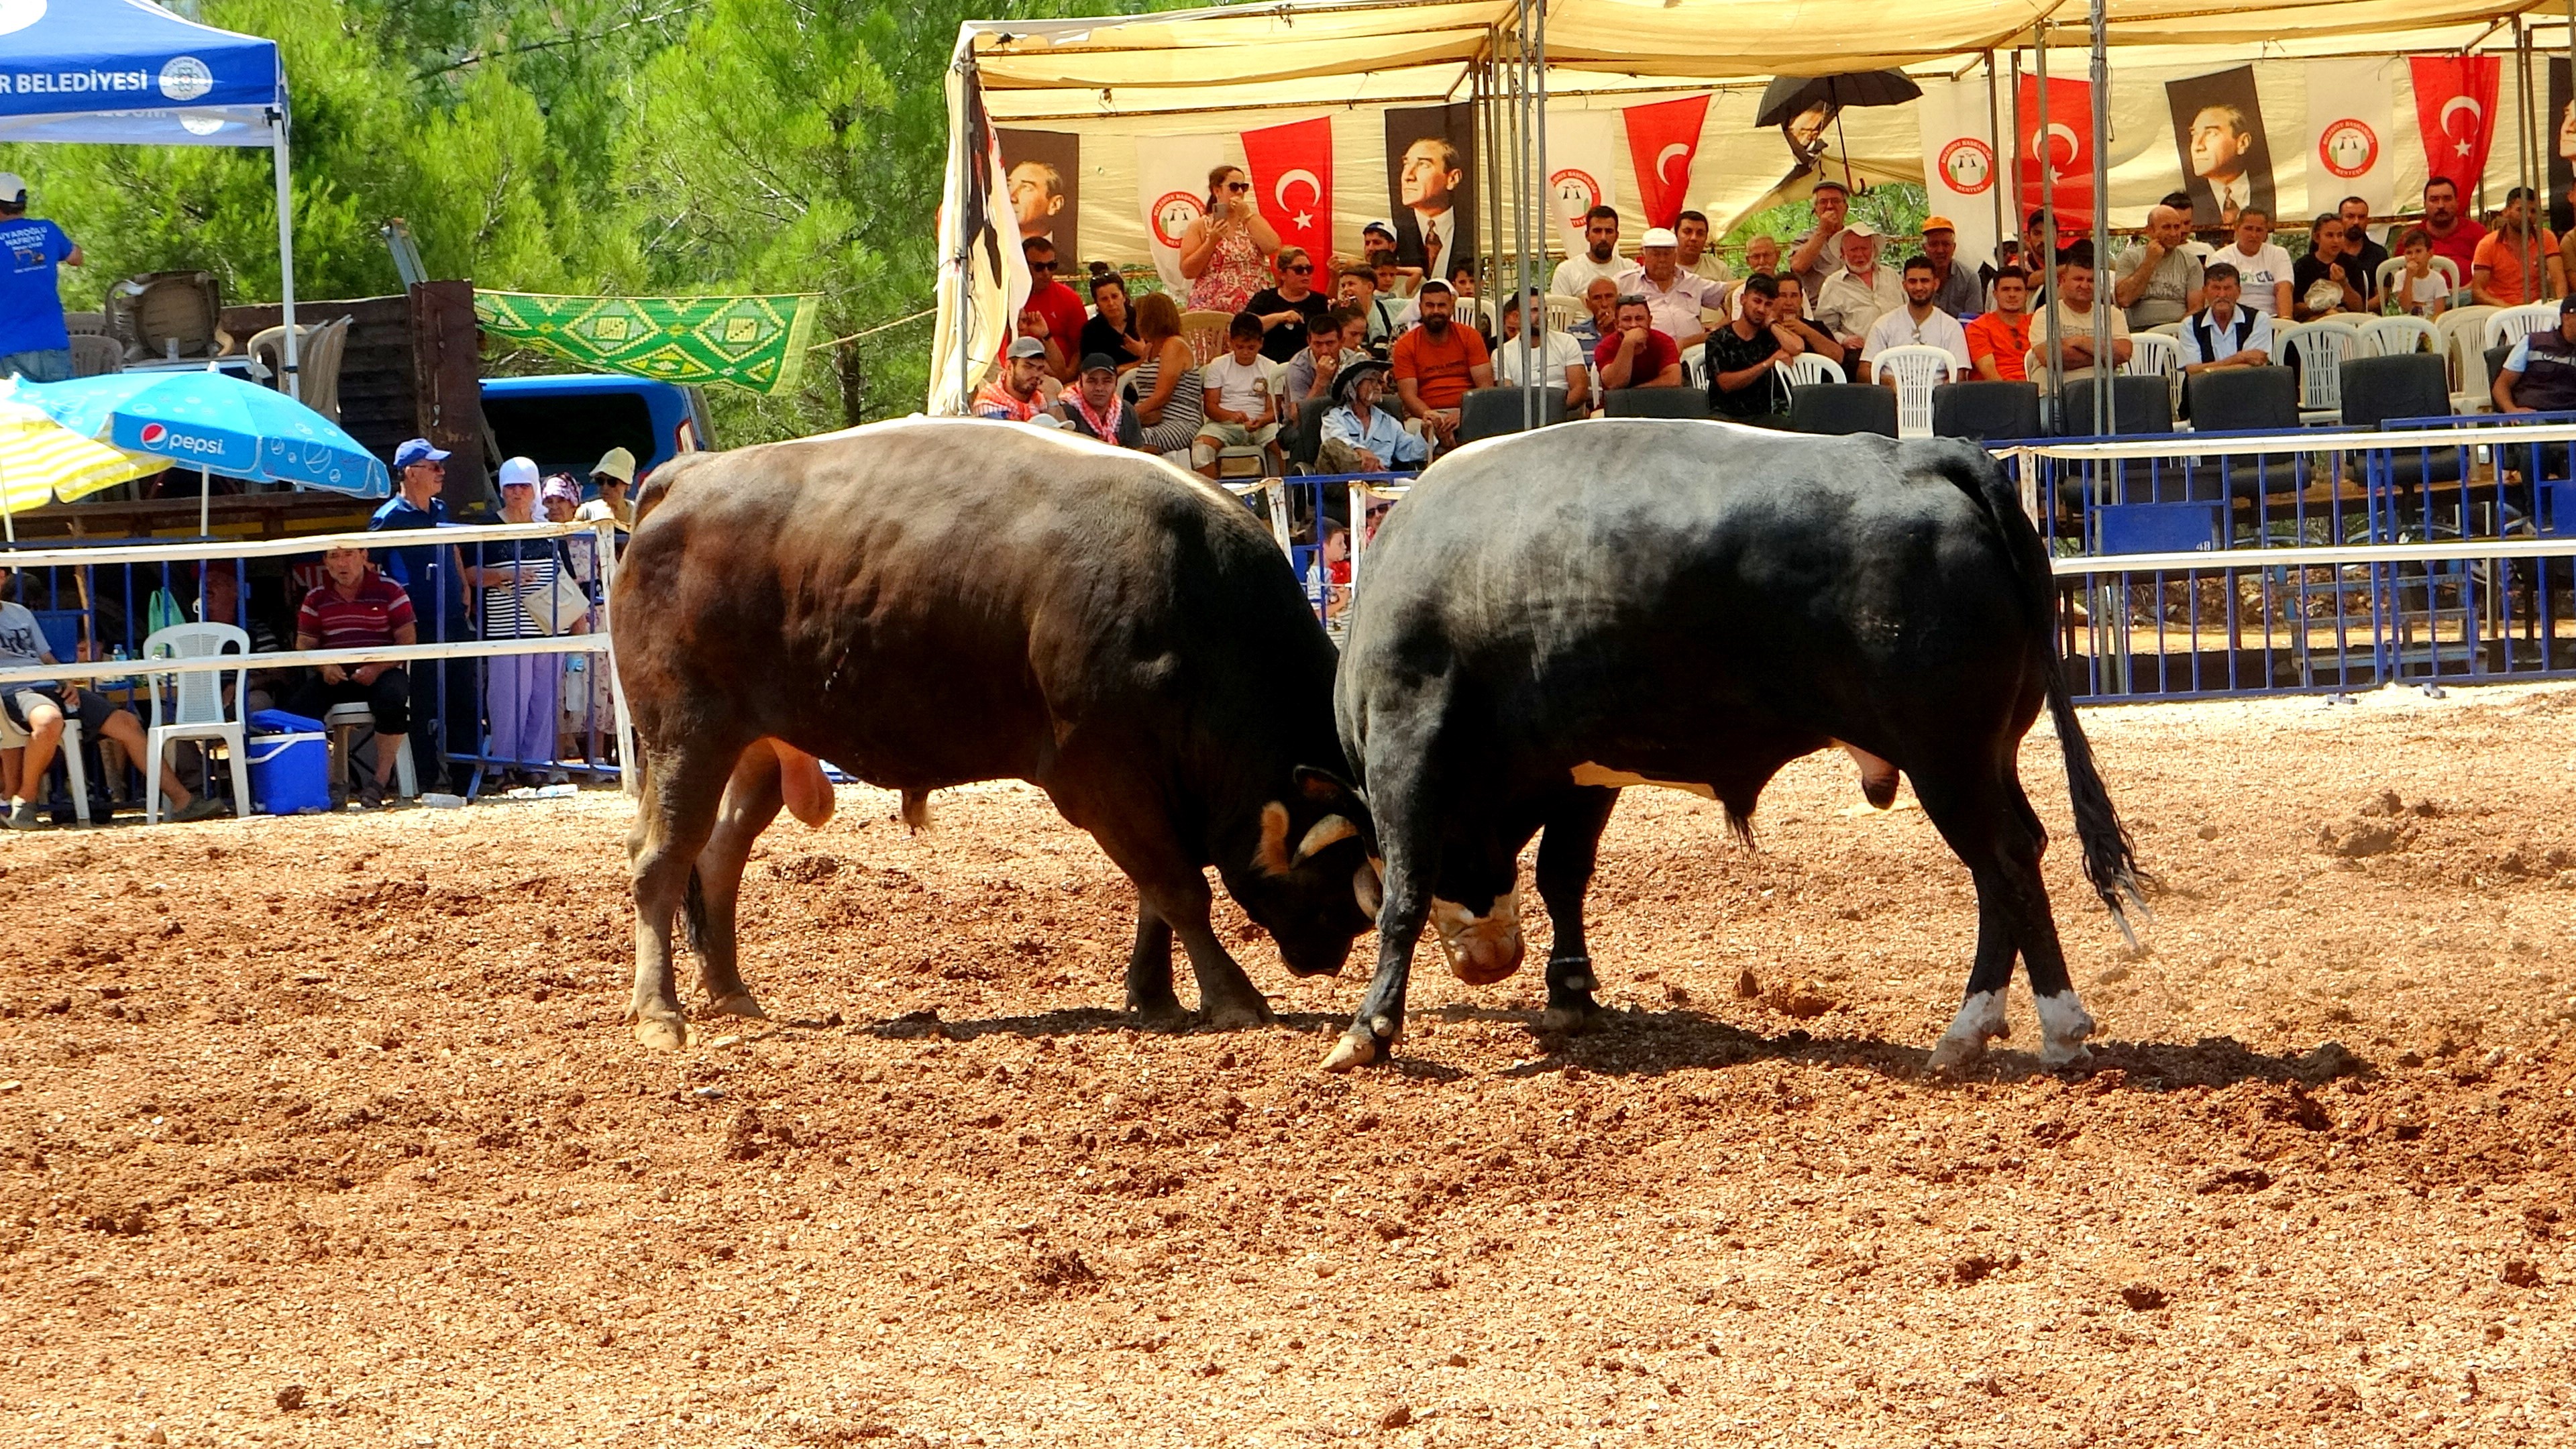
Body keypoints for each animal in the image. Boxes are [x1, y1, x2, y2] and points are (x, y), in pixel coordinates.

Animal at [610, 415, 1381, 1036]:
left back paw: (730, 992)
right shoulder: (1102, 779)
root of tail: (689, 478)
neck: (1198, 609)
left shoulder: (1148, 792)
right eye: (1338, 867)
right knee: (661, 858)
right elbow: (1179, 890)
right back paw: (659, 1013)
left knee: (719, 856)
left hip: (757, 749)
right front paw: (1232, 997)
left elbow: (1155, 896)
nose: (1337, 945)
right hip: (686, 737)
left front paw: (1154, 995)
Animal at [1308, 417, 2153, 1072]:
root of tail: (1929, 455)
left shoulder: (1406, 748)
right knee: (2013, 860)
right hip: (1986, 752)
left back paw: (2053, 1027)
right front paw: (1569, 993)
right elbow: (1562, 877)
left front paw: (1369, 1031)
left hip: (1947, 754)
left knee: (2004, 862)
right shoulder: (1586, 766)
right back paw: (1973, 1030)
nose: (1488, 965)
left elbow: (1409, 897)